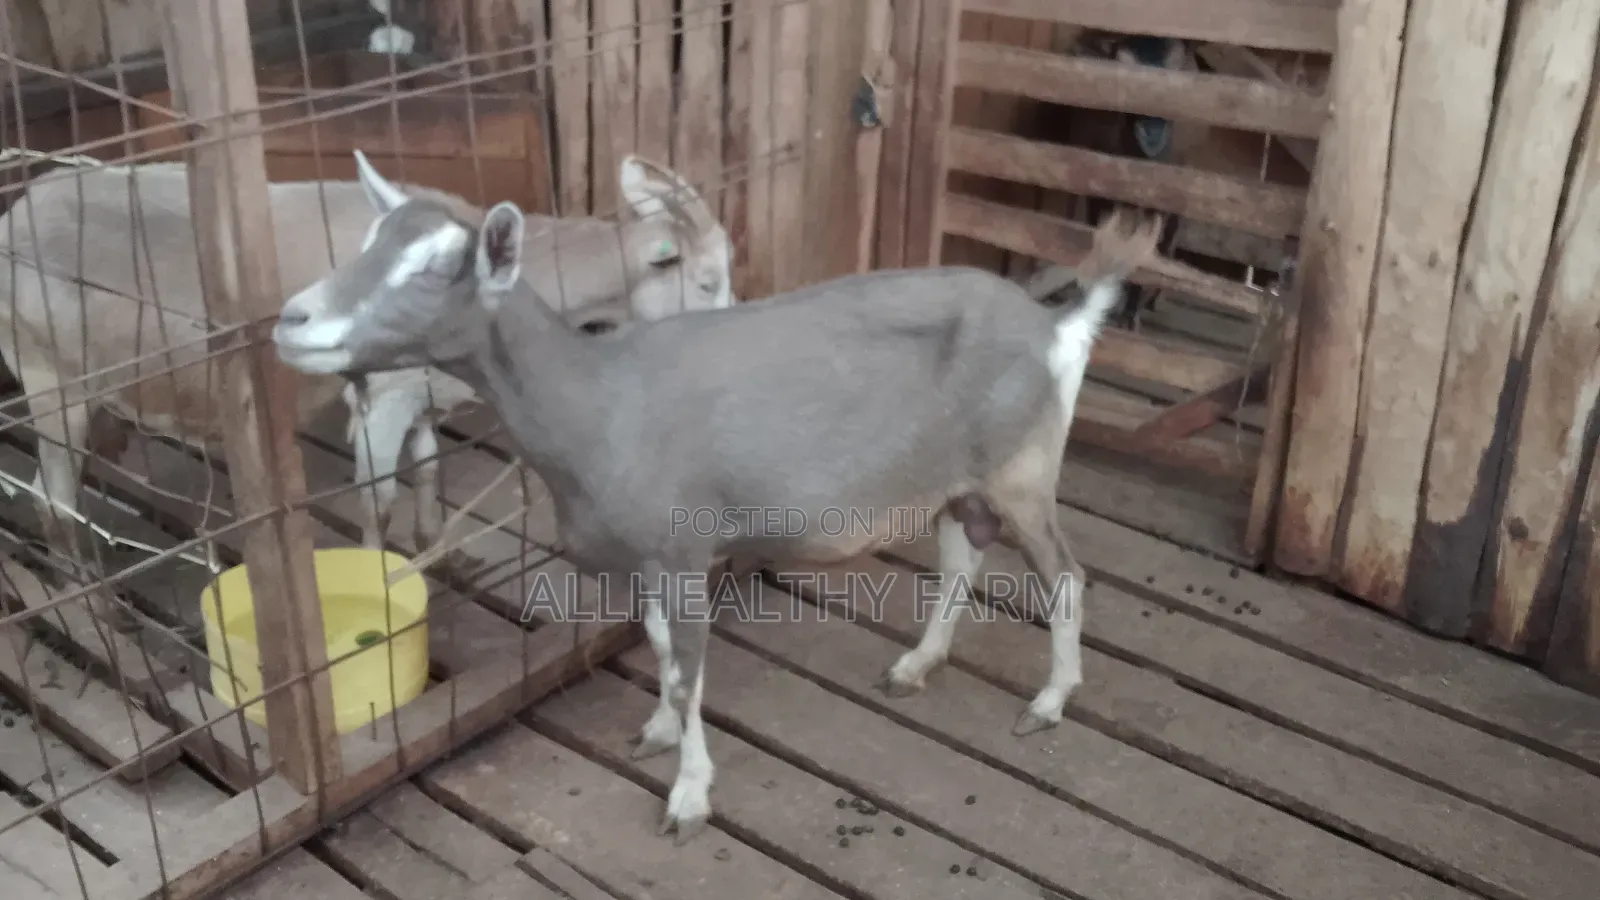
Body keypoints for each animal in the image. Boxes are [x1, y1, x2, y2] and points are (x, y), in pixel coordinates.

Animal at [0, 150, 735, 632]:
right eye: (705, 280)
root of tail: (20, 212)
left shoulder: (420, 392)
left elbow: (429, 469)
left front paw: (446, 552)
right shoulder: (380, 397)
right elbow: (378, 498)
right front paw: (382, 588)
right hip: (50, 377)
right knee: (52, 496)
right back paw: (95, 606)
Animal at [269, 157, 1160, 844]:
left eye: (431, 268)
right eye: (366, 244)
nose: (290, 319)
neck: (597, 401)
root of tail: (1058, 327)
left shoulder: (683, 549)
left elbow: (689, 671)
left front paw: (689, 795)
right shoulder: (645, 559)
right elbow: (664, 654)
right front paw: (661, 733)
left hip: (1023, 466)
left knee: (1066, 574)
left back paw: (1049, 701)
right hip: (957, 474)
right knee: (962, 554)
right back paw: (916, 664)